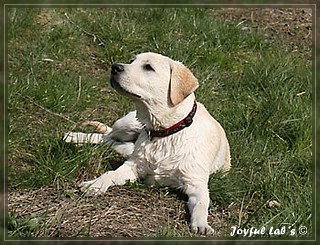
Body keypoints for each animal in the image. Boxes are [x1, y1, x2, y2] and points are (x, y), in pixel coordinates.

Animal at [64, 52, 230, 234]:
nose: (115, 67)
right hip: (128, 125)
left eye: (148, 67)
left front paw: (201, 224)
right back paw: (73, 137)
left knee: (114, 143)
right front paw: (95, 184)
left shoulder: (196, 184)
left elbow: (202, 203)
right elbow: (110, 174)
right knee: (107, 136)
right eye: (132, 61)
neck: (166, 133)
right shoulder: (133, 166)